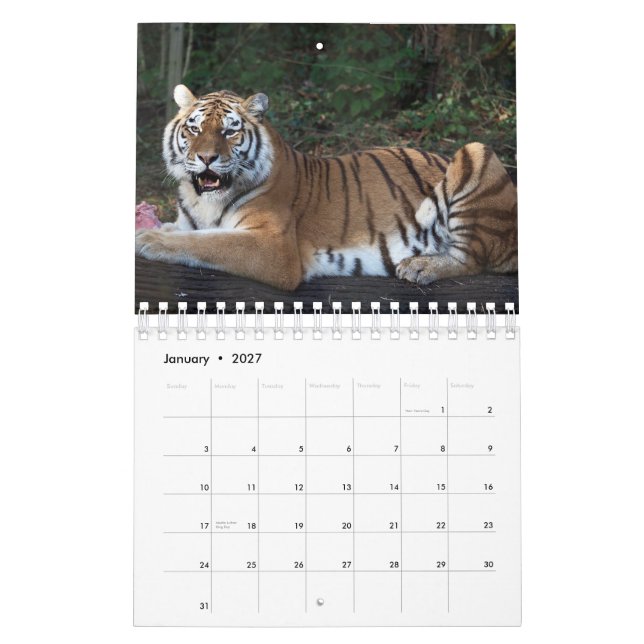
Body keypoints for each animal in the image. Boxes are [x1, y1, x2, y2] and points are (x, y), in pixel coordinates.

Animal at [135, 84, 518, 291]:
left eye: (230, 131)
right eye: (194, 129)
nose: (207, 158)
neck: (204, 201)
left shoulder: (274, 247)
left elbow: (207, 243)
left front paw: (150, 239)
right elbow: (188, 232)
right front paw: (152, 227)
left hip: (476, 152)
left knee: (472, 258)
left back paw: (419, 266)